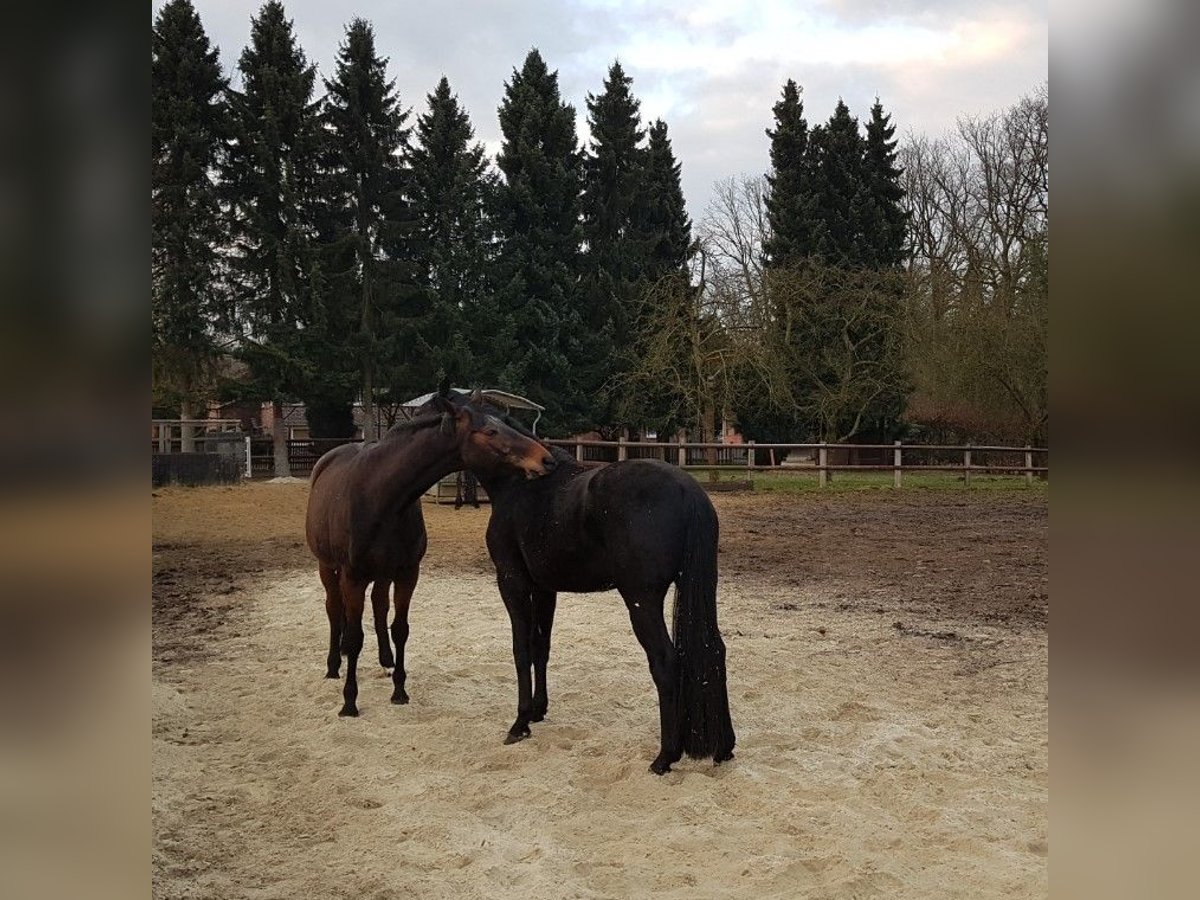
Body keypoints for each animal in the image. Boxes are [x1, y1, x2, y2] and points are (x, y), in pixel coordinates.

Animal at [448, 396, 734, 777]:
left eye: (495, 428)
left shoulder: (512, 582)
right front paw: (538, 711)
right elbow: (541, 648)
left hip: (641, 600)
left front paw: (520, 723)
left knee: (665, 661)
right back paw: (724, 748)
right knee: (714, 651)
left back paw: (665, 757)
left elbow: (521, 650)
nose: (541, 461)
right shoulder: (545, 589)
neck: (520, 488)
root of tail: (688, 490)